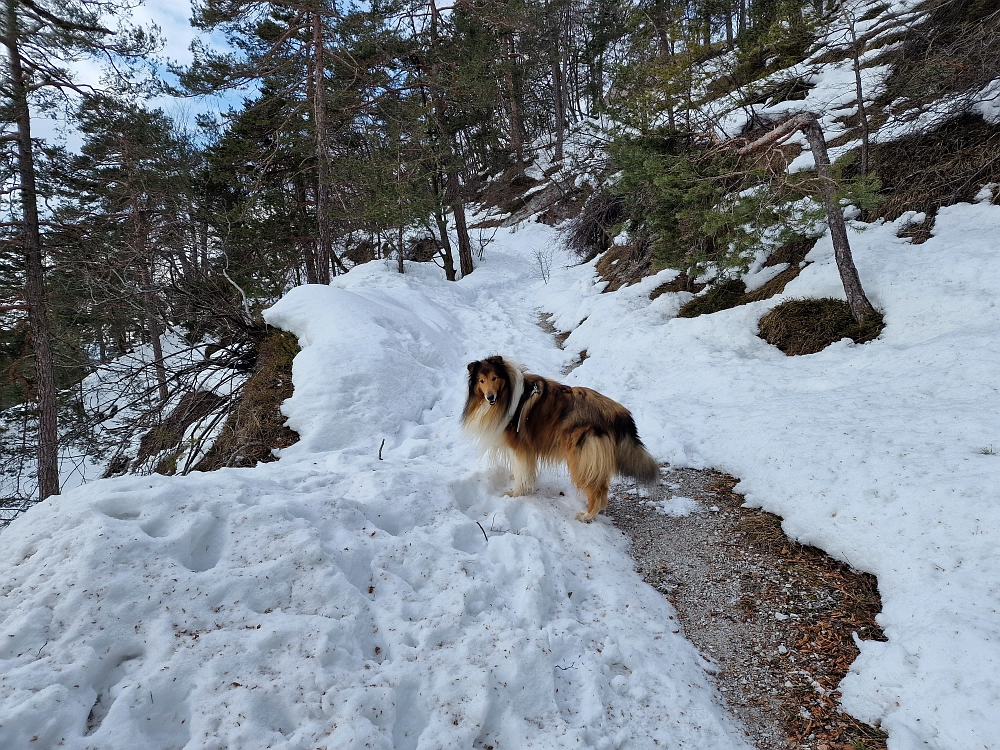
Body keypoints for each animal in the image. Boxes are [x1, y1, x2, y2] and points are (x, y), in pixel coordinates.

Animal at [462, 356, 664, 524]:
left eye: (494, 378)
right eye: (481, 380)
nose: (490, 397)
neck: (509, 393)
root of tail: (617, 414)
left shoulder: (520, 447)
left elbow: (522, 472)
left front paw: (516, 493)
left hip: (580, 458)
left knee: (595, 489)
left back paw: (588, 515)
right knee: (603, 486)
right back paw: (599, 510)